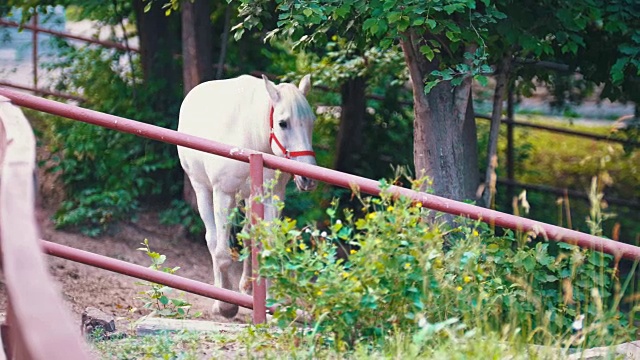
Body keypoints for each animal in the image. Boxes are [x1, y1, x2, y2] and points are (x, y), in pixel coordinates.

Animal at [178, 74, 318, 318]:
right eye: (283, 123)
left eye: (312, 122)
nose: (307, 178)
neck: (252, 137)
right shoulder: (223, 192)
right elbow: (222, 253)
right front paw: (226, 305)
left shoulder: (272, 196)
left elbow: (268, 244)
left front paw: (272, 302)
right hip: (202, 188)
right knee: (212, 239)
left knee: (248, 235)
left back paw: (246, 287)